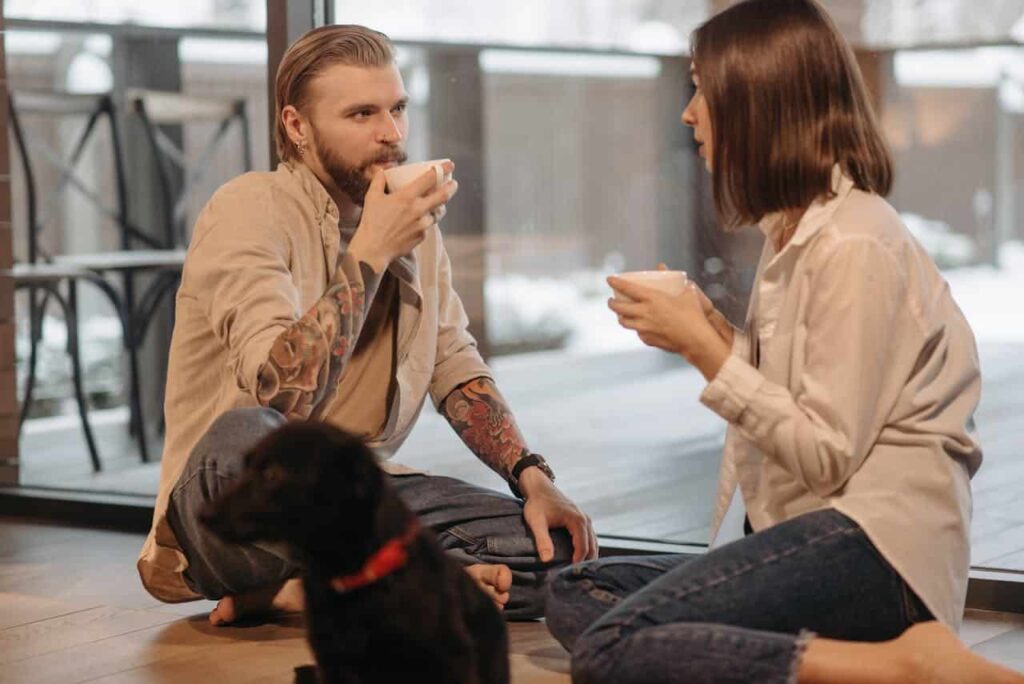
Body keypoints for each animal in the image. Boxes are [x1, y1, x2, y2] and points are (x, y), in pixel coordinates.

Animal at [203, 421, 512, 684]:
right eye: (245, 467)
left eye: (271, 474)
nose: (203, 515)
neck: (353, 576)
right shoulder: (335, 663)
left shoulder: (450, 658)